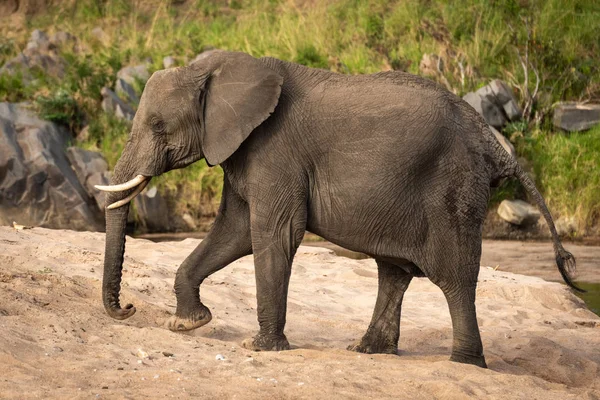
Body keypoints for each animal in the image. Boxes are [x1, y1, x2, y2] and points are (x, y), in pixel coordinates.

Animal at [95, 50, 580, 368]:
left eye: (158, 126)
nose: (127, 310)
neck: (212, 70)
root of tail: (492, 142)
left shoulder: (275, 151)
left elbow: (273, 234)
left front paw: (261, 347)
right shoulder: (242, 149)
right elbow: (234, 230)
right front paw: (189, 324)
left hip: (453, 190)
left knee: (454, 277)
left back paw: (463, 363)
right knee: (394, 271)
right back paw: (368, 351)